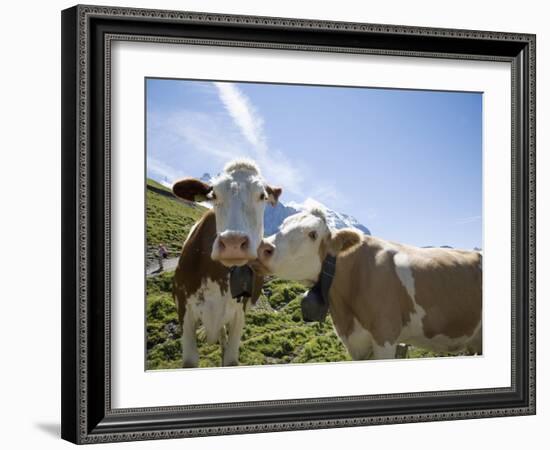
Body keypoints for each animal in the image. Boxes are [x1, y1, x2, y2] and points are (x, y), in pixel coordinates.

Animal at [172, 160, 282, 368]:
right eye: (214, 194)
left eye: (262, 196)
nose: (233, 243)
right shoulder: (184, 311)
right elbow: (190, 361)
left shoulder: (239, 314)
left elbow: (230, 359)